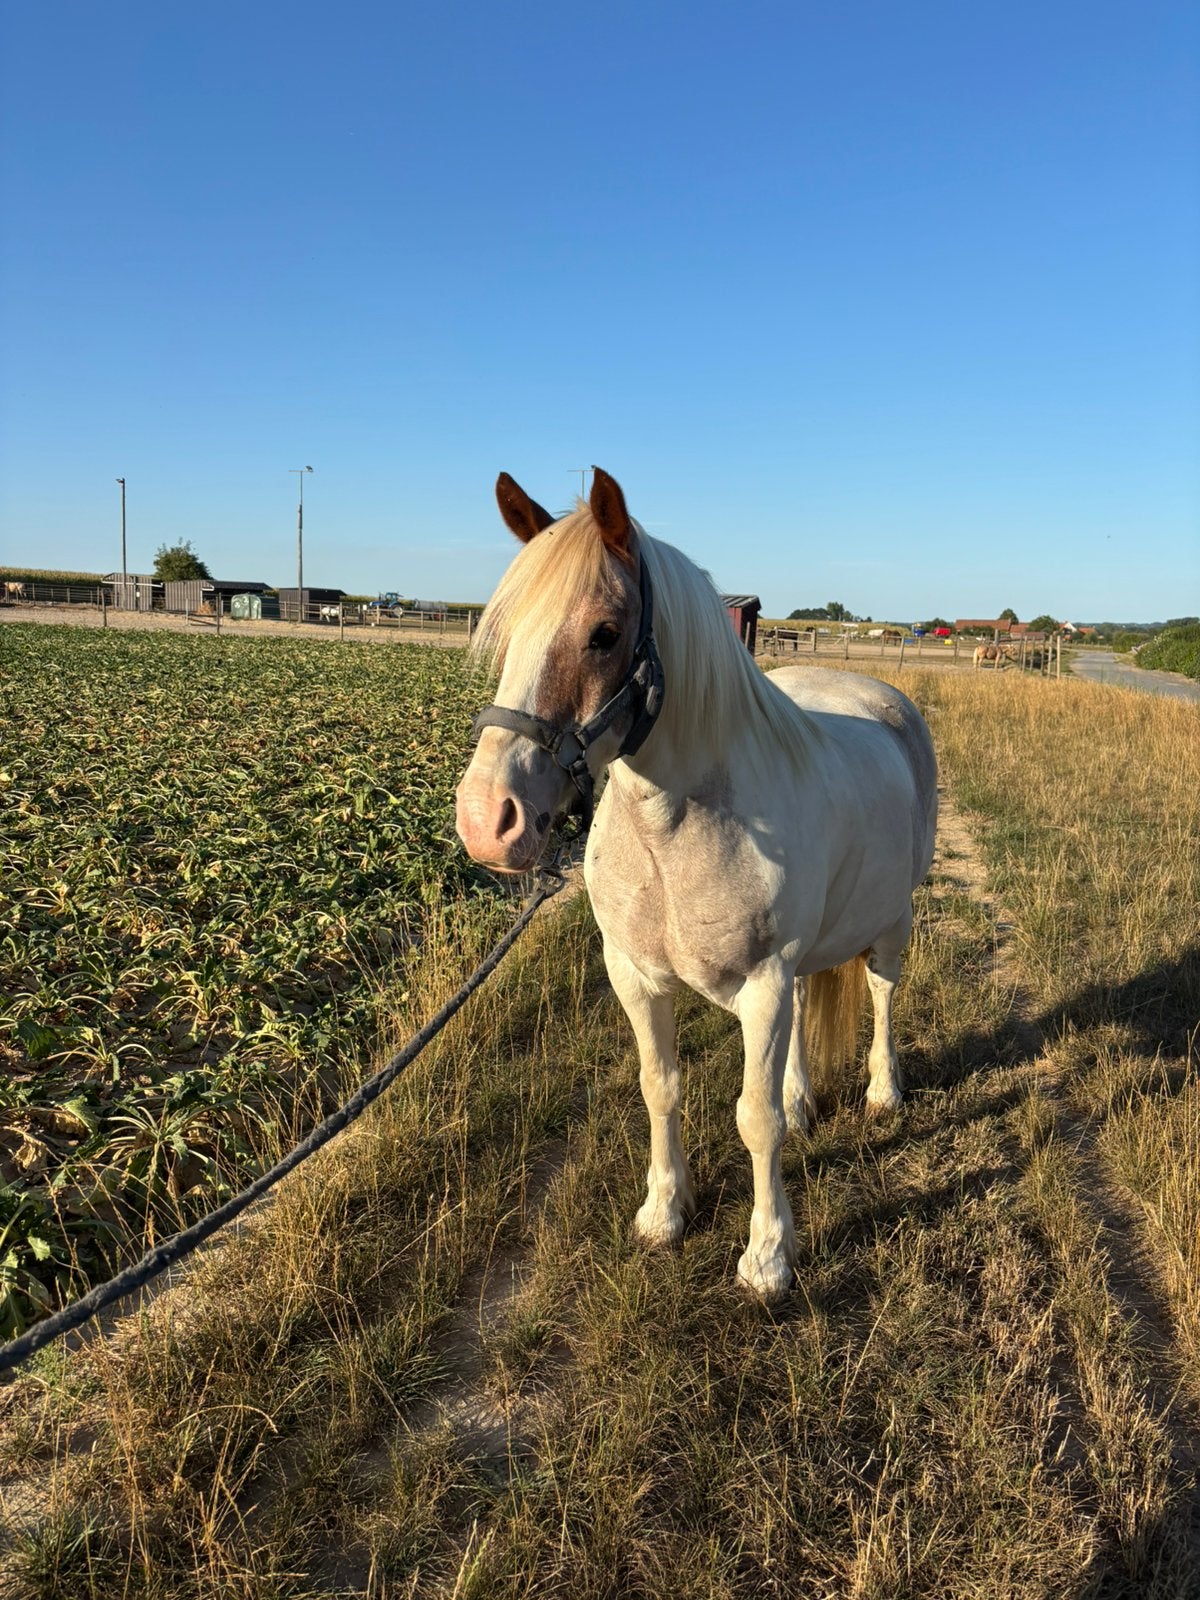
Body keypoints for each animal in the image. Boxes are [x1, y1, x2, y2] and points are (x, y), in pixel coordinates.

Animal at [456, 470, 938, 1300]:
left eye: (604, 633)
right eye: (509, 629)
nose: (488, 820)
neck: (674, 829)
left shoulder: (763, 985)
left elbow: (753, 1120)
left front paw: (768, 1258)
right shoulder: (635, 977)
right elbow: (662, 1086)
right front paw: (663, 1214)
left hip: (892, 926)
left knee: (881, 994)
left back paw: (882, 1092)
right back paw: (804, 1099)